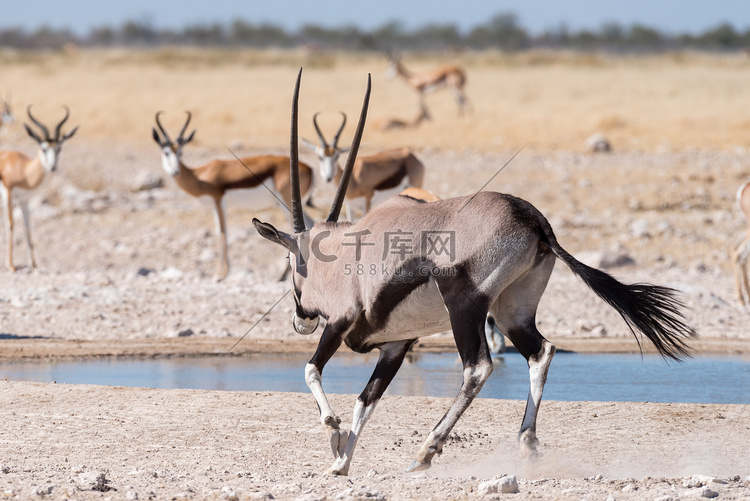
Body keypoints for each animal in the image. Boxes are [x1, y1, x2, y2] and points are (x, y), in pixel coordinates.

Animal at [0, 103, 78, 272]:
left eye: (59, 148)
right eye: (43, 148)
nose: (53, 167)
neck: (23, 169)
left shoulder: (24, 200)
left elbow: (27, 226)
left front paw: (33, 264)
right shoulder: (8, 195)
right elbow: (10, 224)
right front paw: (11, 265)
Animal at [153, 111, 314, 280]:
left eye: (181, 152)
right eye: (166, 152)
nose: (175, 171)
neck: (201, 176)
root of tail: (310, 169)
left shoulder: (218, 200)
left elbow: (222, 231)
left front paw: (221, 274)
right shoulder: (214, 205)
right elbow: (219, 231)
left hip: (286, 204)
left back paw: (283, 275)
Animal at [256, 68, 696, 474]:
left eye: (292, 262)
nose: (301, 320)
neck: (338, 251)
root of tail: (534, 222)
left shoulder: (341, 321)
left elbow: (312, 370)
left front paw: (333, 433)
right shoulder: (396, 345)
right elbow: (367, 400)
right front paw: (342, 463)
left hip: (464, 306)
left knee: (478, 367)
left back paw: (427, 451)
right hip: (512, 309)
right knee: (541, 351)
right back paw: (527, 443)